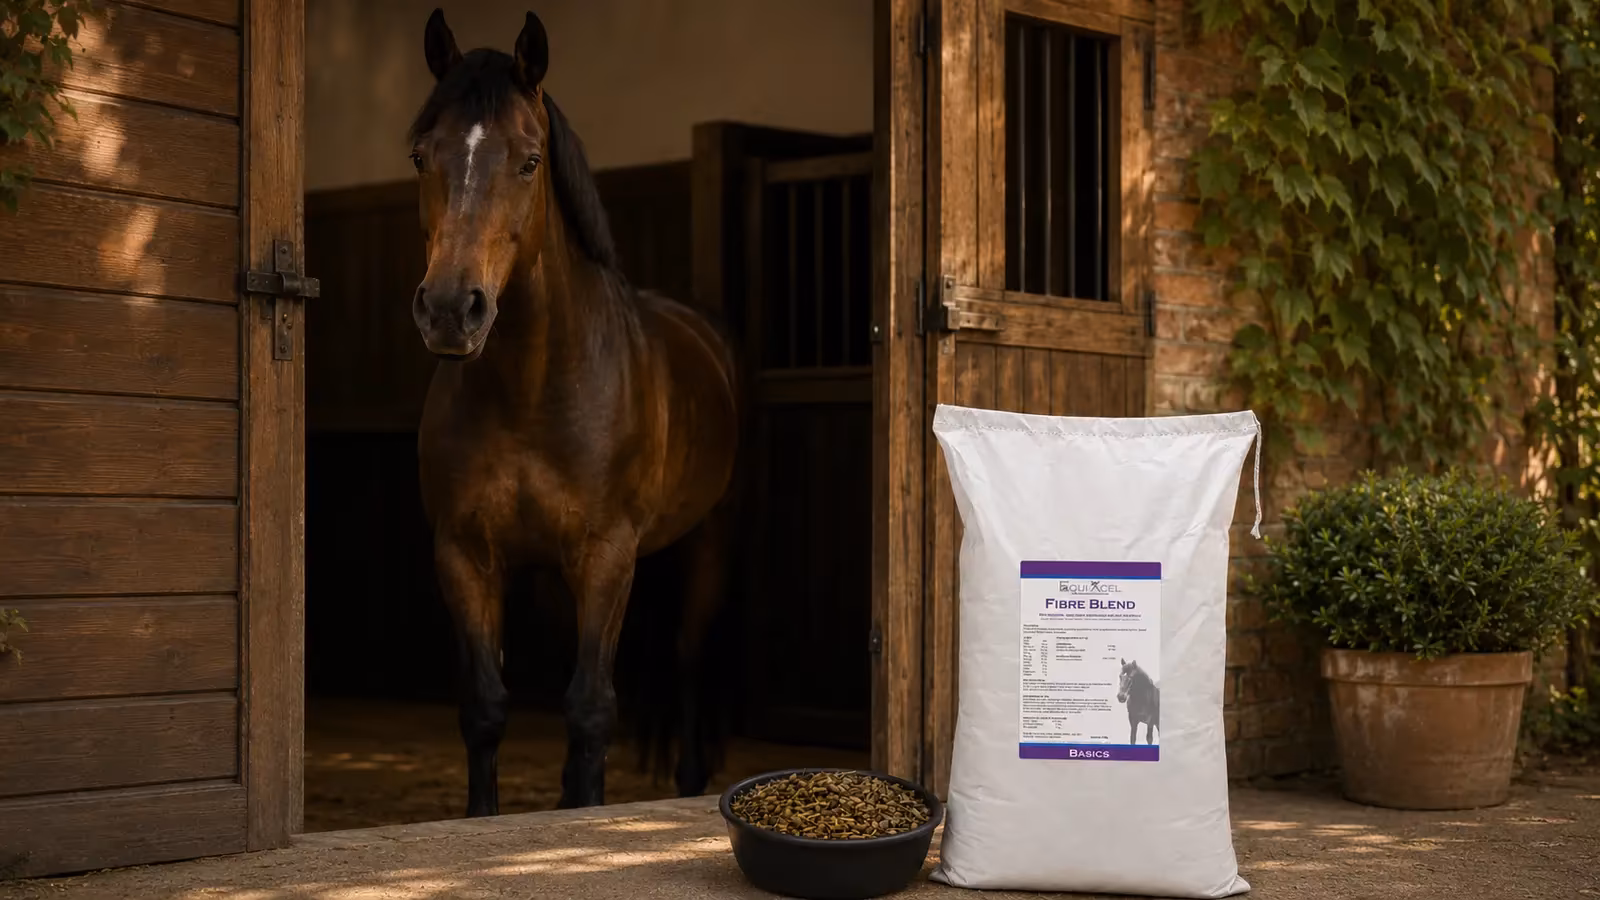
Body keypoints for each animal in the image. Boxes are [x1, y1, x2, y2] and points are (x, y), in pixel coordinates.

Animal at [407, 8, 741, 816]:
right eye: (420, 156)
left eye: (529, 162)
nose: (450, 311)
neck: (532, 389)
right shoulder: (464, 554)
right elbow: (485, 708)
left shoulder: (606, 555)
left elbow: (591, 708)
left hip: (704, 545)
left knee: (687, 663)